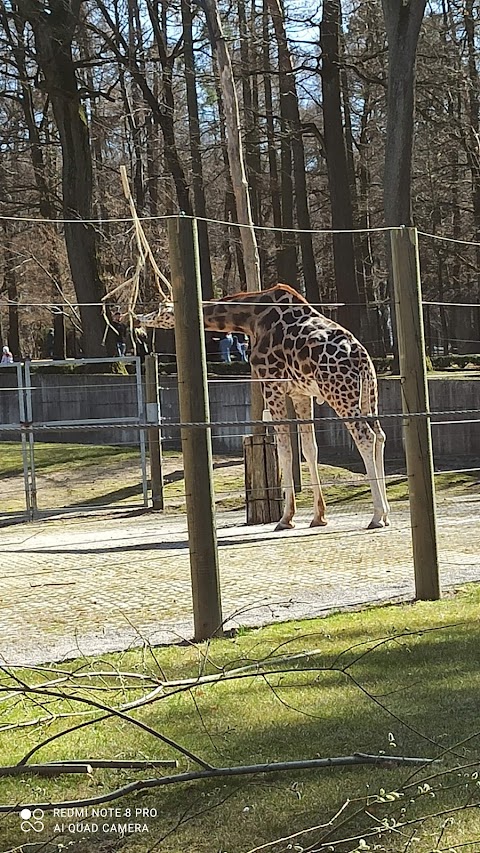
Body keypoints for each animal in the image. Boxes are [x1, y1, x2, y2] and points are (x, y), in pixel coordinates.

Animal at [136, 282, 390, 528]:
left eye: (160, 309)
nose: (139, 319)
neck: (250, 318)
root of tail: (362, 358)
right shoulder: (301, 393)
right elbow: (309, 449)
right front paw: (319, 516)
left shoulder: (270, 383)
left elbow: (285, 450)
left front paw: (286, 518)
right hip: (369, 395)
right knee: (380, 436)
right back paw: (386, 513)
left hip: (340, 394)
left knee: (366, 437)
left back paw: (377, 515)